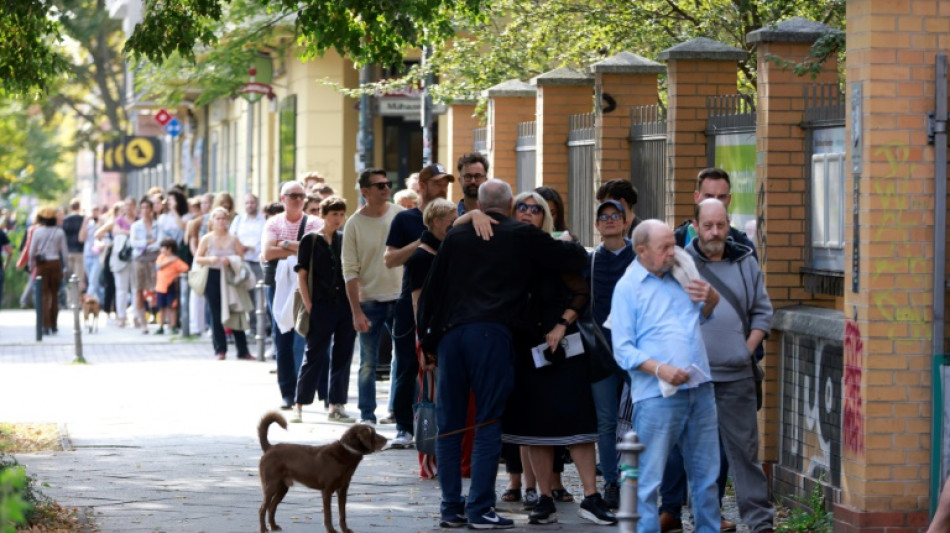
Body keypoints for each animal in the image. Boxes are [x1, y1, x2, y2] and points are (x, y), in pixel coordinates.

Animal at [258, 412, 388, 528]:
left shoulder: (342, 490)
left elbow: (342, 514)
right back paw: (264, 529)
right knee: (262, 509)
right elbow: (328, 515)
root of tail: (269, 448)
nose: (387, 439)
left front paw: (345, 530)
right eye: (374, 434)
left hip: (282, 488)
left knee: (272, 507)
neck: (347, 451)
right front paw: (331, 530)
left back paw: (273, 527)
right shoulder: (327, 491)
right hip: (271, 486)